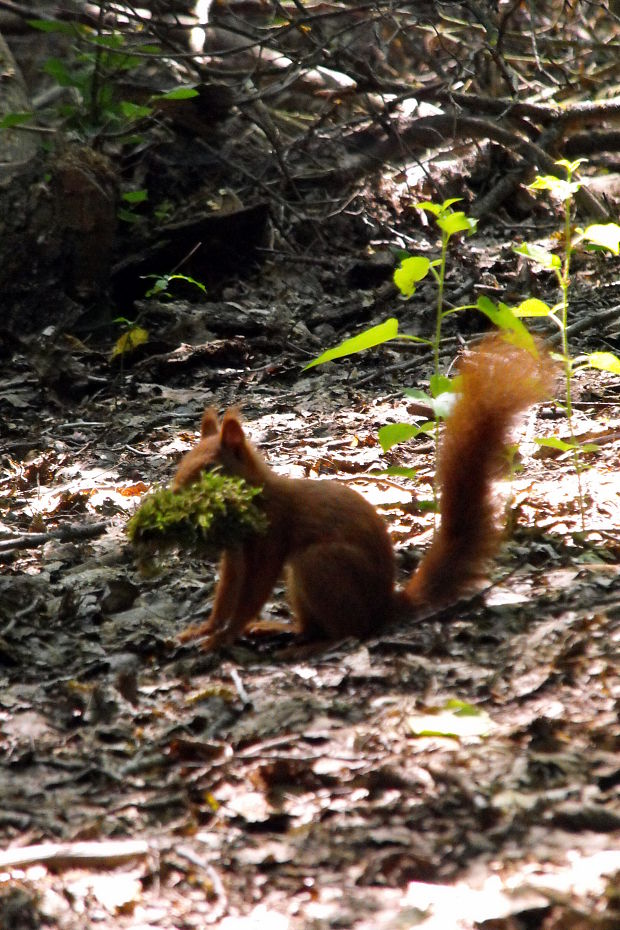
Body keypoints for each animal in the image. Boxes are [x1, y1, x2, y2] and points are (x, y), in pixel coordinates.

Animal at [171, 336, 552, 652]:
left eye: (210, 469)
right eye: (183, 460)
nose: (174, 491)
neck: (256, 496)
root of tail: (382, 607)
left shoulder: (271, 536)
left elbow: (253, 592)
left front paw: (224, 637)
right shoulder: (234, 552)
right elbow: (226, 592)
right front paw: (205, 629)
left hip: (320, 564)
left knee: (351, 632)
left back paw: (309, 646)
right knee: (316, 628)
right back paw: (282, 630)